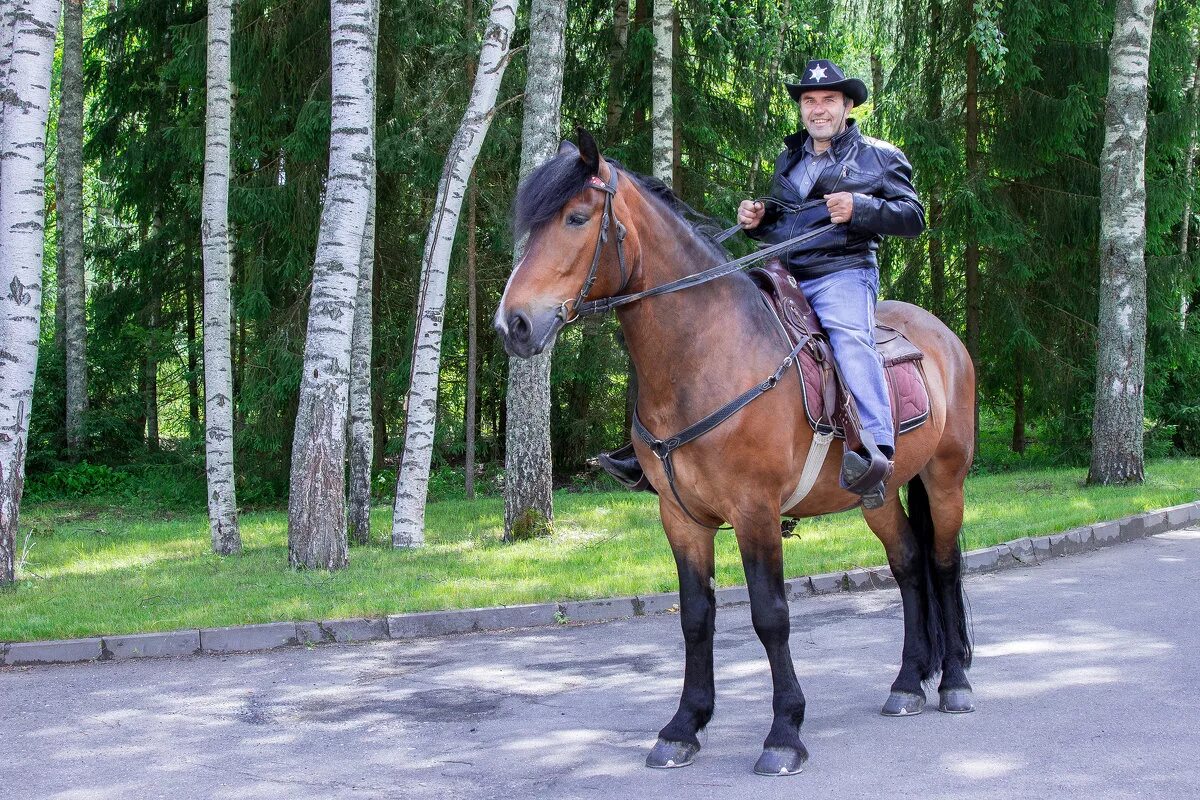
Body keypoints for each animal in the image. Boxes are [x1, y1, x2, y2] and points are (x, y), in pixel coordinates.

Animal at [494, 131, 974, 777]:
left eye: (575, 217)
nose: (514, 325)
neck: (706, 353)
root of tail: (945, 337)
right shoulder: (681, 517)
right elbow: (696, 617)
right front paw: (682, 726)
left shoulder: (755, 511)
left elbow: (770, 616)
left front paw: (784, 732)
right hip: (879, 492)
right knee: (908, 564)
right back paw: (906, 682)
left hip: (946, 478)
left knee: (943, 564)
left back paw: (954, 685)